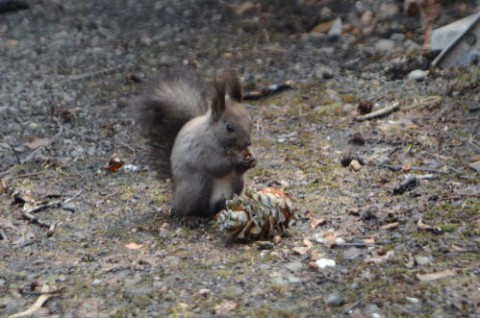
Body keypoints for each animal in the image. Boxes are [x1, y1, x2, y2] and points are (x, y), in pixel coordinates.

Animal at [133, 69, 256, 216]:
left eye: (250, 120)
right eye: (229, 127)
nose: (248, 142)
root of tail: (176, 196)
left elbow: (239, 168)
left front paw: (252, 159)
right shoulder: (204, 150)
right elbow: (217, 165)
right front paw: (236, 158)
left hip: (237, 182)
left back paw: (225, 205)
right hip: (198, 184)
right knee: (195, 209)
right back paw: (201, 213)